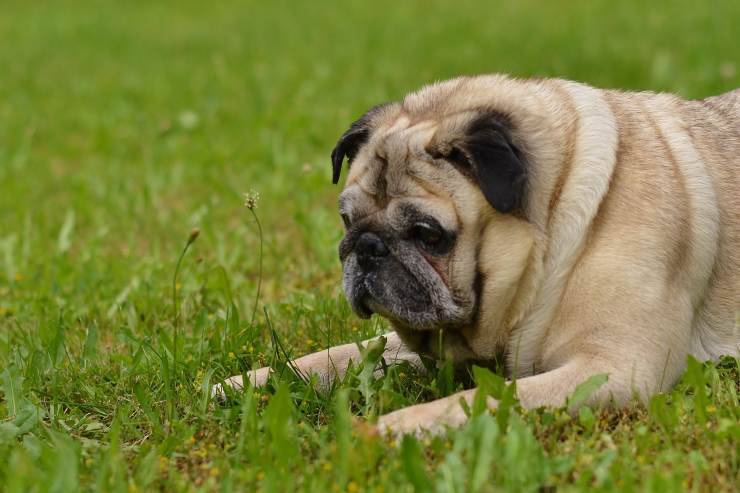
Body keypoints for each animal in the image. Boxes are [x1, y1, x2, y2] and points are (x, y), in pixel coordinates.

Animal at [215, 74, 740, 434]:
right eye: (347, 221)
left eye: (428, 234)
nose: (366, 245)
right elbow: (331, 358)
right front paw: (244, 384)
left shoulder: (615, 368)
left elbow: (480, 402)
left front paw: (398, 427)